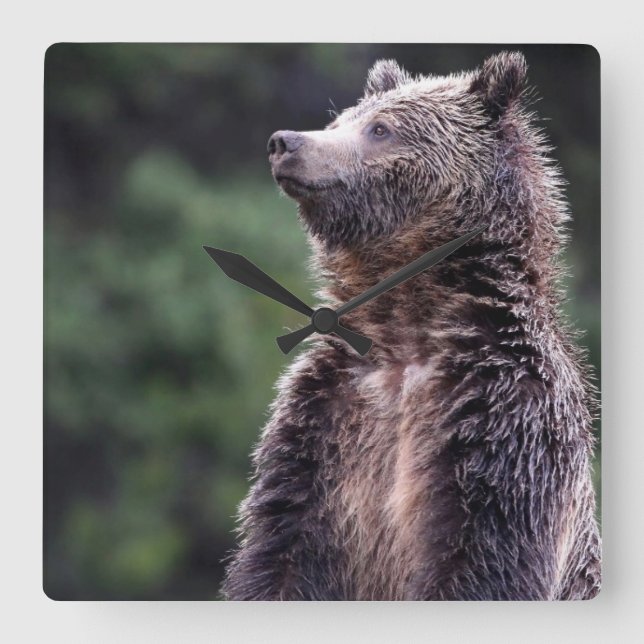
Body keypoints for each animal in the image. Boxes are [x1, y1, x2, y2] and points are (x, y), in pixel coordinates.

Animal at [221, 51, 601, 600]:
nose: (285, 142)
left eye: (381, 128)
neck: (406, 327)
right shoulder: (322, 422)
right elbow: (281, 547)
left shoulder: (504, 417)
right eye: (340, 121)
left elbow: (483, 557)